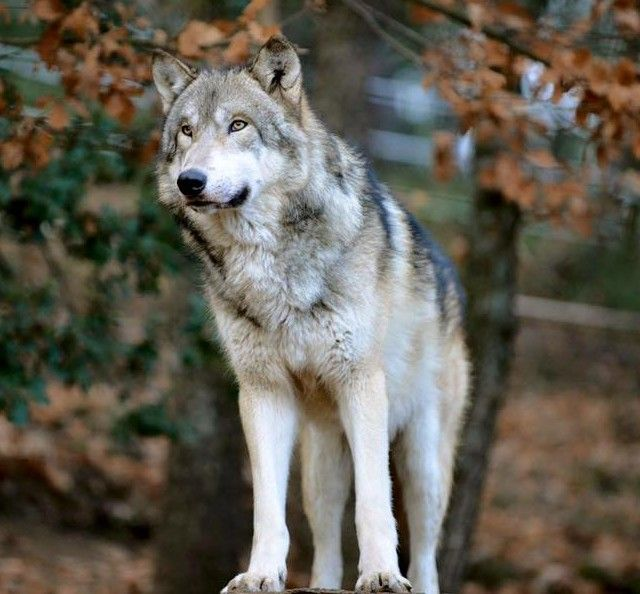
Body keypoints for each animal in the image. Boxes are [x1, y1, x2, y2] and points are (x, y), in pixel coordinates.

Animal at [152, 35, 468, 592]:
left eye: (238, 125)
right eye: (186, 131)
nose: (191, 181)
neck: (269, 263)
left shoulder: (360, 384)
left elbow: (374, 503)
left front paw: (381, 573)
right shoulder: (262, 391)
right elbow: (267, 510)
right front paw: (260, 574)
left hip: (422, 465)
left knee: (427, 553)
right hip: (320, 467)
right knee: (325, 544)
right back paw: (320, 582)